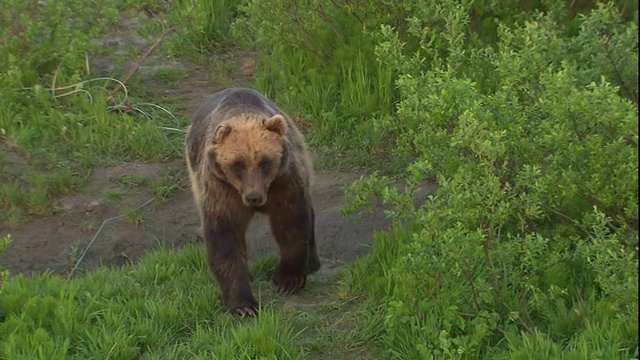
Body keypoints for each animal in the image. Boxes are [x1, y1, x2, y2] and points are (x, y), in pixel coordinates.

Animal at [185, 88, 320, 316]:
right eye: (237, 164)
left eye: (265, 162)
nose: (254, 196)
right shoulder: (221, 188)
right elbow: (225, 238)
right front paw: (244, 305)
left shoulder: (284, 181)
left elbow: (291, 223)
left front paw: (287, 280)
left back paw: (312, 263)